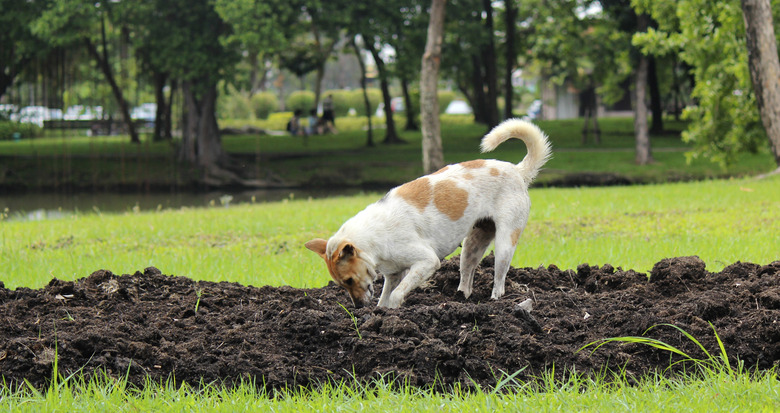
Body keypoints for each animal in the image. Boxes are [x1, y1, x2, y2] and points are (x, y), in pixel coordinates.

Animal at [302, 117, 552, 308]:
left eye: (349, 280)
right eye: (341, 284)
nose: (357, 307)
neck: (373, 237)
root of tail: (517, 171)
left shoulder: (427, 262)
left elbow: (396, 294)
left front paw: (393, 309)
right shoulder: (393, 274)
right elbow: (385, 295)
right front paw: (380, 313)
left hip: (504, 243)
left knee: (499, 280)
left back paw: (495, 301)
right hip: (472, 244)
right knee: (467, 277)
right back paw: (461, 298)